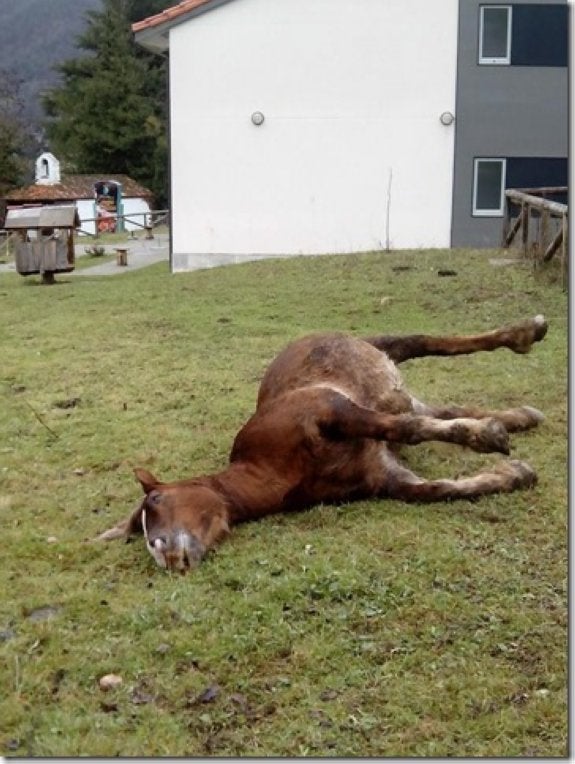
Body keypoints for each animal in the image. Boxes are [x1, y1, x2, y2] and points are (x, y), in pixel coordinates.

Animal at [98, 312, 548, 572]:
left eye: (156, 500)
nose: (165, 555)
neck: (276, 470)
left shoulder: (331, 411)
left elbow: (406, 429)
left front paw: (487, 437)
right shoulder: (384, 476)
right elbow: (439, 488)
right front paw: (514, 471)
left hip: (383, 349)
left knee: (430, 345)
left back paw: (525, 334)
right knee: (435, 407)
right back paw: (522, 415)